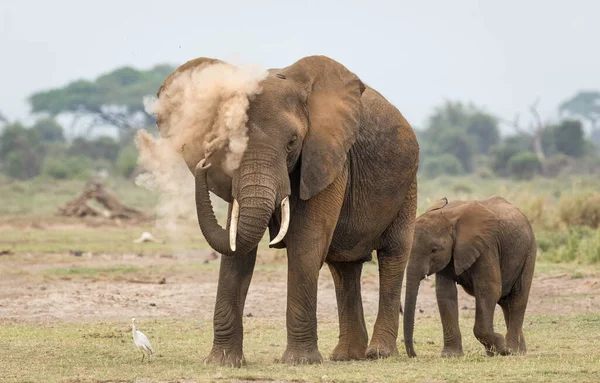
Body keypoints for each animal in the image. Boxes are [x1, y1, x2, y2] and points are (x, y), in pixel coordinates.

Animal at [152, 55, 420, 368]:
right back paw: (346, 356)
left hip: (408, 185)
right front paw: (222, 362)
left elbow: (306, 243)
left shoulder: (326, 158)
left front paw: (300, 361)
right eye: (226, 143)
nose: (204, 162)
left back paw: (378, 353)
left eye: (292, 142)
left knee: (393, 255)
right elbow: (237, 252)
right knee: (344, 267)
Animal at [404, 196, 536, 358]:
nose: (414, 355)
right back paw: (518, 351)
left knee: (518, 298)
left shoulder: (486, 247)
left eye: (434, 250)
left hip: (529, 250)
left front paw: (501, 347)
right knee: (506, 302)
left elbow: (488, 290)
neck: (449, 217)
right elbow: (445, 293)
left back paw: (511, 350)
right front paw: (451, 355)